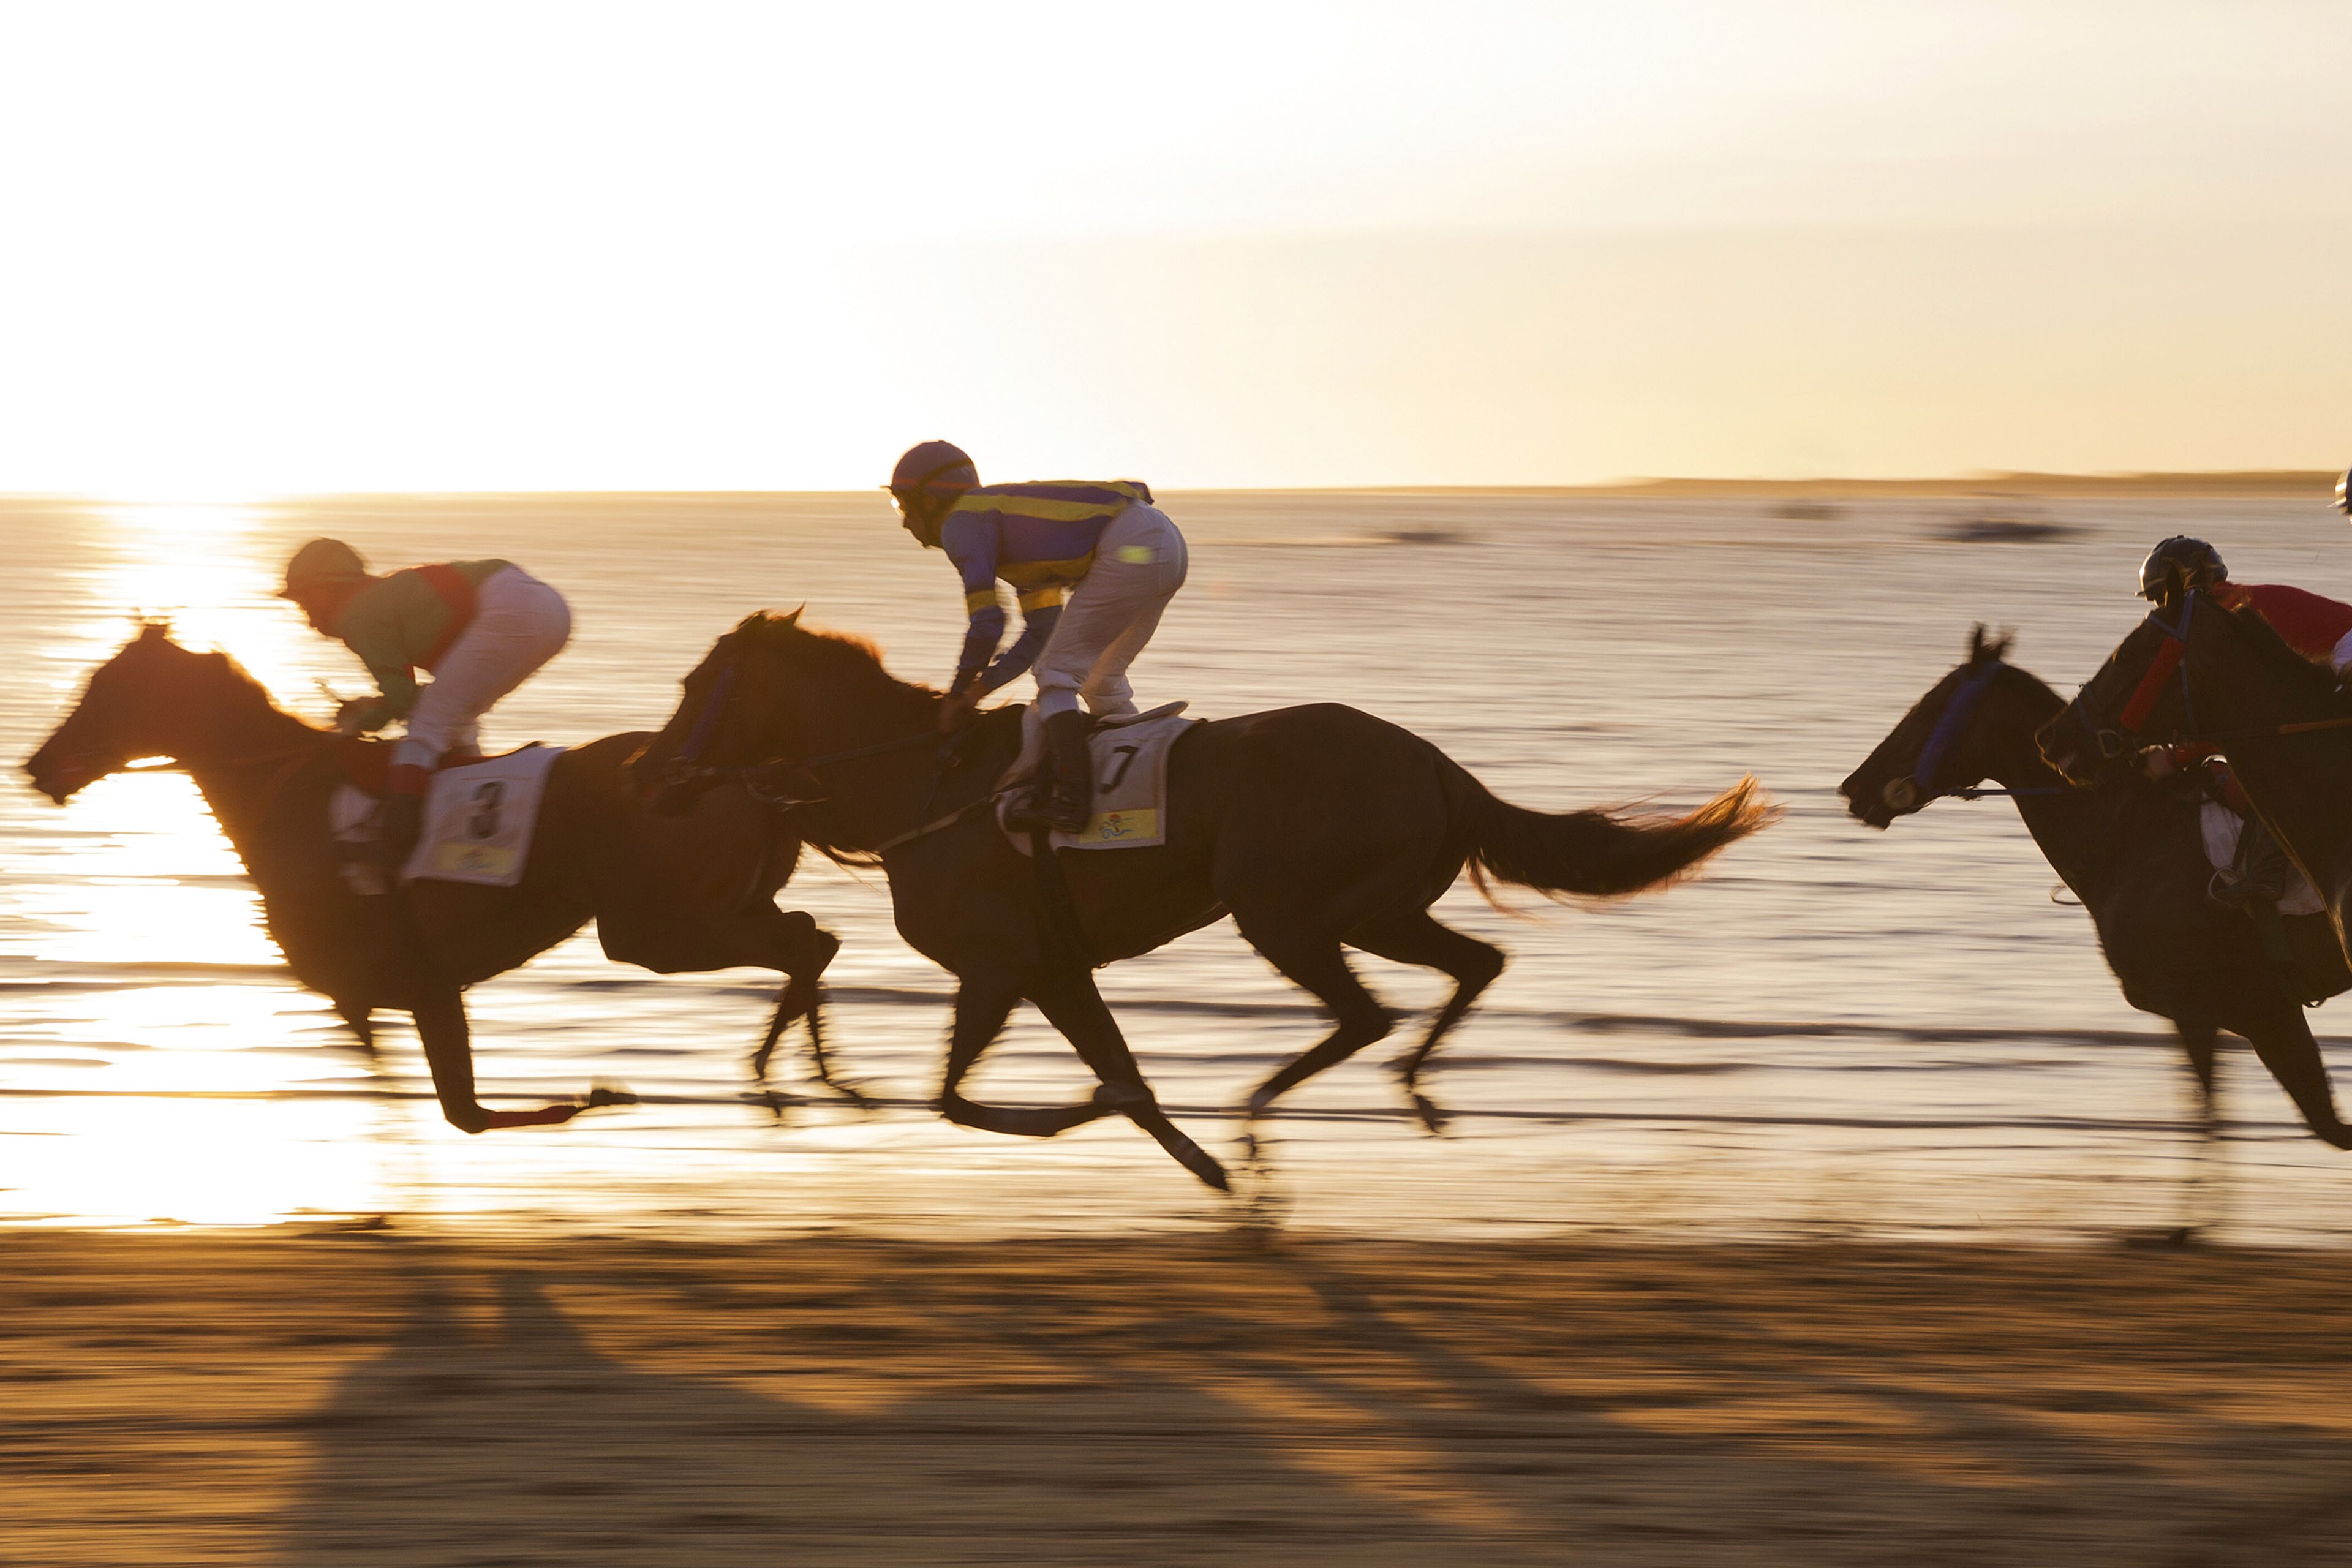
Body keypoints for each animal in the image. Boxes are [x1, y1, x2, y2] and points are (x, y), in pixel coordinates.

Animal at [25, 620, 846, 1128]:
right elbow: (445, 1104)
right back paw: (803, 1071)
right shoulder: (396, 992)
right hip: (706, 912)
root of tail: (738, 775)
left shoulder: (414, 980)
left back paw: (794, 1074)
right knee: (815, 936)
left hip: (656, 929)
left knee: (801, 943)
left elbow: (464, 1112)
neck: (288, 792)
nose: (39, 766)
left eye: (105, 688)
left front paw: (600, 1093)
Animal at [625, 611, 1768, 1189]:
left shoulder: (1004, 964)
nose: (647, 775)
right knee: (1472, 966)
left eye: (687, 687)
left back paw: (1271, 1112)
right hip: (1376, 909)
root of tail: (1435, 762)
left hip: (1291, 912)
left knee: (1368, 1012)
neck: (926, 784)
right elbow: (1106, 1075)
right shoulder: (1051, 967)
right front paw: (1180, 1149)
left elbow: (971, 1095)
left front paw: (1132, 1128)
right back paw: (1407, 1092)